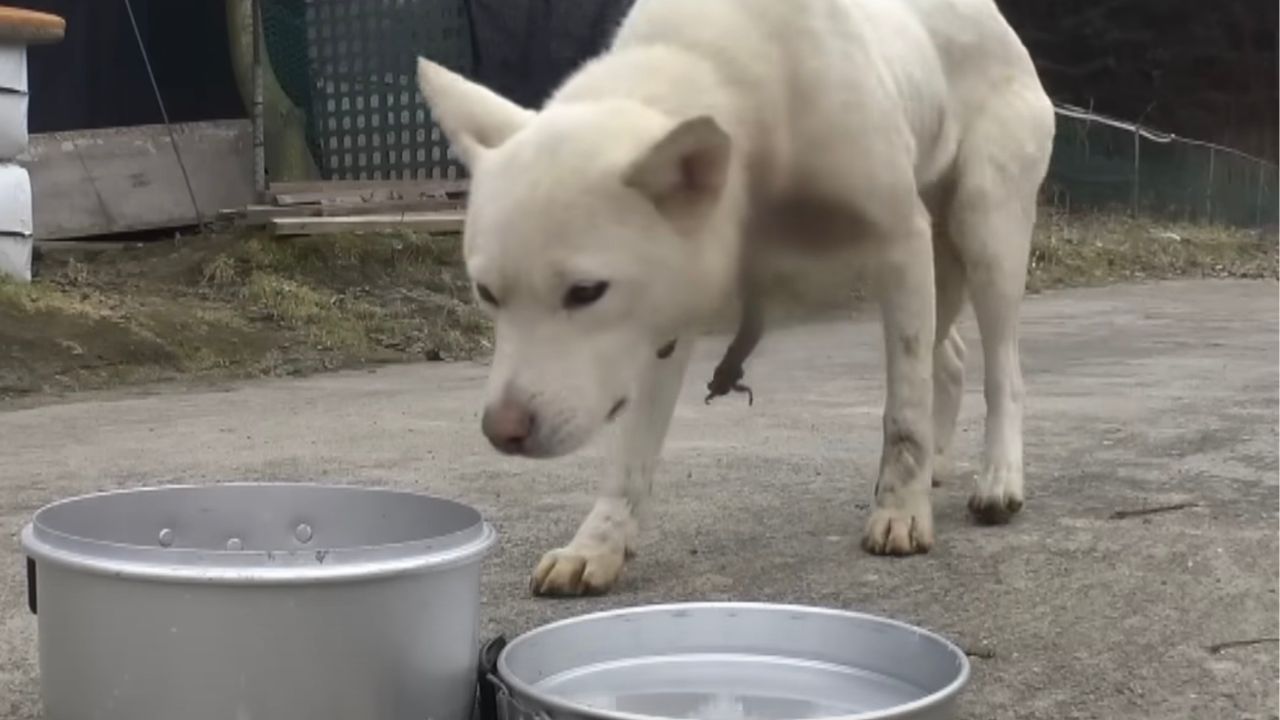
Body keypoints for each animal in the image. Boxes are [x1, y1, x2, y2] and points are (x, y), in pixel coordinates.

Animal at [414, 0, 1054, 594]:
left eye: (585, 292)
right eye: (487, 293)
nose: (503, 431)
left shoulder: (900, 241)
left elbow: (903, 415)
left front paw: (900, 511)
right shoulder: (662, 318)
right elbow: (630, 453)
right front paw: (598, 544)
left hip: (984, 231)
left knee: (1002, 371)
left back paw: (998, 479)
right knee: (952, 359)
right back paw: (941, 464)